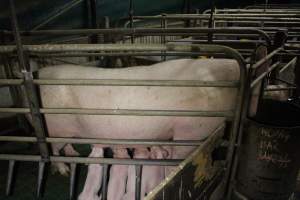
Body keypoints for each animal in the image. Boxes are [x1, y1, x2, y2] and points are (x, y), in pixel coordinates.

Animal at [37, 57, 239, 198]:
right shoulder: (191, 130)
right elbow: (181, 157)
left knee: (65, 145)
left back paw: (75, 155)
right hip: (52, 128)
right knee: (52, 149)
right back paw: (64, 170)